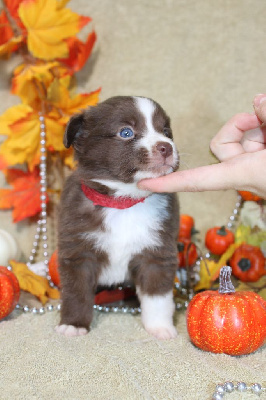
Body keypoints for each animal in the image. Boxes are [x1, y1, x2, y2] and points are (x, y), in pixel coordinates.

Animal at [56, 95, 181, 340]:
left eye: (166, 131)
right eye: (126, 132)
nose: (166, 147)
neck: (123, 202)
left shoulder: (157, 252)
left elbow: (157, 296)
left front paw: (160, 327)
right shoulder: (78, 252)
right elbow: (76, 292)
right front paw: (73, 324)